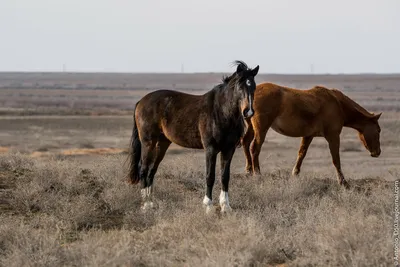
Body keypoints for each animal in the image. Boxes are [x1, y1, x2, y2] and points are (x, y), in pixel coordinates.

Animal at [127, 61, 260, 214]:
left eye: (253, 86)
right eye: (239, 86)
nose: (248, 112)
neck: (221, 111)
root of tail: (141, 101)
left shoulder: (228, 149)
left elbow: (225, 176)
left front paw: (225, 206)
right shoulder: (210, 149)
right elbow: (210, 176)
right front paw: (208, 206)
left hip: (162, 144)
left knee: (152, 171)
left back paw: (151, 202)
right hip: (148, 142)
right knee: (143, 169)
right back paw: (145, 205)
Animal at [241, 82, 382, 187]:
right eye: (378, 130)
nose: (378, 152)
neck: (338, 103)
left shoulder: (308, 135)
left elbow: (301, 154)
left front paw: (295, 174)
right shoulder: (333, 136)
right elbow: (336, 159)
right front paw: (343, 182)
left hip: (252, 127)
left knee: (246, 142)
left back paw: (248, 170)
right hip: (261, 129)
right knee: (255, 148)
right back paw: (257, 174)